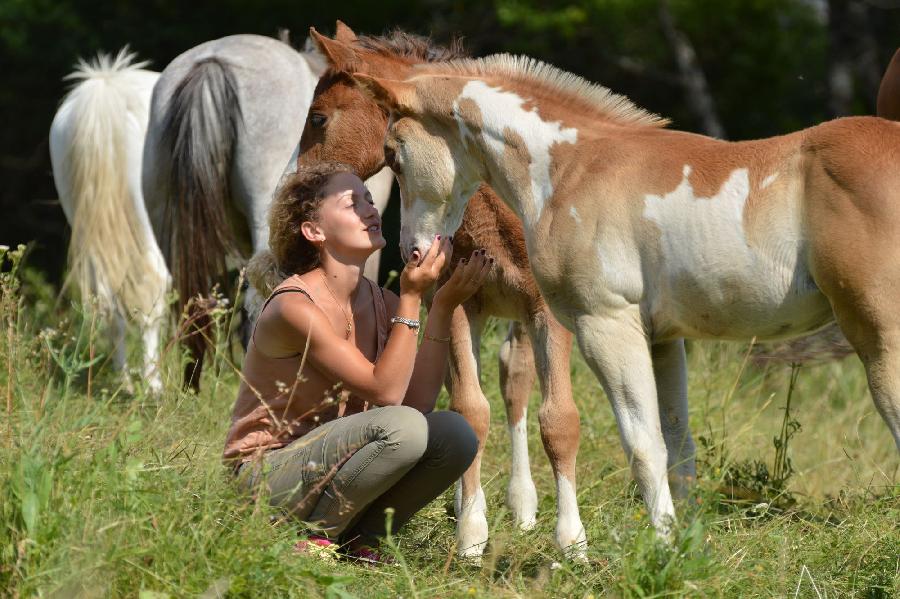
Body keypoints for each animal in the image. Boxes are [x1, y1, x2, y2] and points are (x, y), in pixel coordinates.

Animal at [298, 24, 588, 564]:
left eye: (319, 117)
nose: (302, 184)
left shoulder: (545, 310)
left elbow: (558, 419)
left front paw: (574, 544)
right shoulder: (456, 303)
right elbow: (470, 410)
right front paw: (472, 534)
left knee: (516, 383)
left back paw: (523, 505)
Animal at [356, 54, 900, 536]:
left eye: (394, 155)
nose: (413, 251)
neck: (571, 168)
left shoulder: (606, 325)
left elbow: (642, 445)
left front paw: (640, 548)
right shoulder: (664, 340)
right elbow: (678, 446)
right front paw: (685, 551)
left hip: (880, 337)